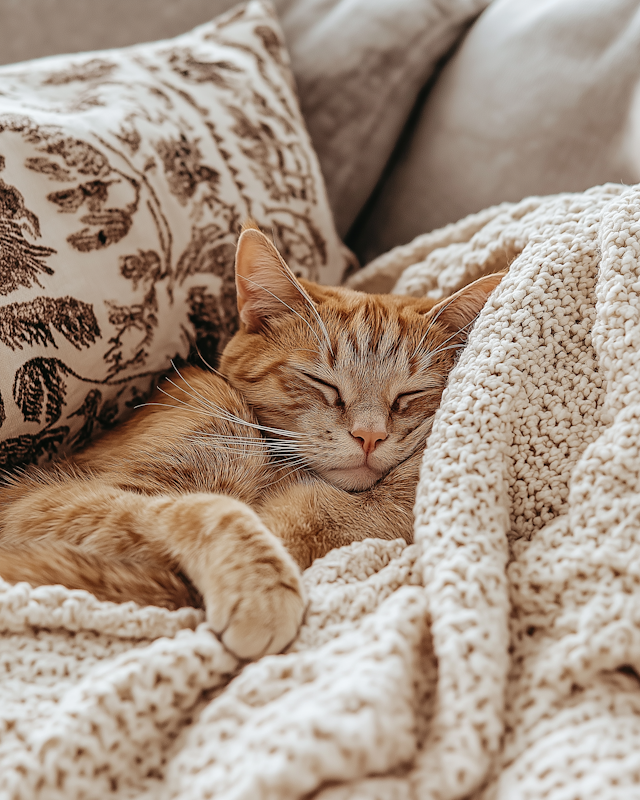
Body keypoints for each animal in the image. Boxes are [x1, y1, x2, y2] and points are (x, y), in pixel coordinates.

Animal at [0, 223, 502, 656]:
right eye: (321, 382)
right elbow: (207, 509)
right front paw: (260, 583)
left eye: (409, 395)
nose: (369, 435)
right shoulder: (29, 505)